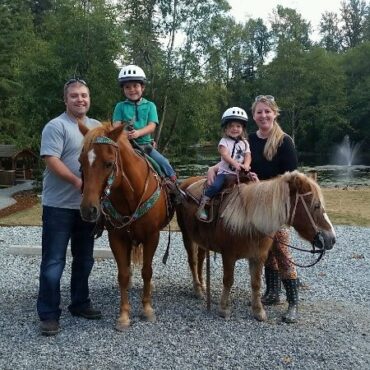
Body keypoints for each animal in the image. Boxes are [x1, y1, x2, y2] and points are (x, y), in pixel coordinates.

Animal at [77, 121, 173, 330]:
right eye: (81, 163)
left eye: (108, 163)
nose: (88, 210)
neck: (131, 194)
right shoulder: (117, 238)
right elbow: (122, 274)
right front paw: (123, 315)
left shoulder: (152, 236)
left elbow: (147, 271)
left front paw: (147, 309)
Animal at [176, 172, 336, 320]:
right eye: (316, 205)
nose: (332, 239)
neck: (248, 221)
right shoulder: (228, 256)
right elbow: (228, 280)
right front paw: (224, 308)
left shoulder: (258, 257)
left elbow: (256, 283)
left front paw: (258, 311)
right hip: (187, 237)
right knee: (193, 262)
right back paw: (197, 290)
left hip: (202, 242)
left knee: (201, 261)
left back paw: (203, 286)